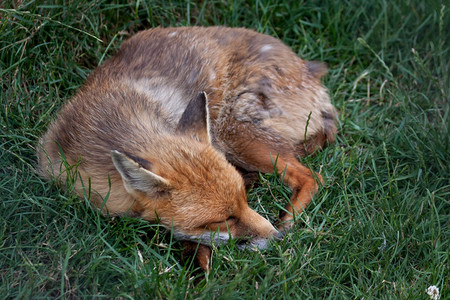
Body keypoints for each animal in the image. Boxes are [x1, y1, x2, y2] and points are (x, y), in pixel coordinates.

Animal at [37, 25, 336, 270]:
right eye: (224, 218)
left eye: (244, 201)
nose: (277, 239)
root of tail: (310, 72)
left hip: (235, 135)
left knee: (312, 177)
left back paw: (288, 219)